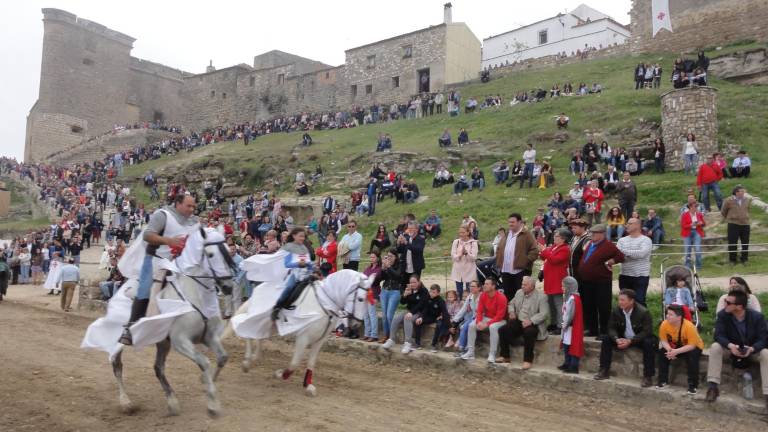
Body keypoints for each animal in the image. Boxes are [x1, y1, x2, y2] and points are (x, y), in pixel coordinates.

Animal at [84, 228, 237, 416]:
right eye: (210, 254)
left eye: (228, 252)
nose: (228, 287)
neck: (195, 295)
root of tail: (119, 291)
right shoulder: (181, 341)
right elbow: (205, 362)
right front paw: (212, 403)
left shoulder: (209, 337)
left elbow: (222, 357)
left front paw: (206, 384)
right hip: (119, 341)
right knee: (117, 364)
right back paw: (126, 403)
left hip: (163, 343)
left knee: (158, 368)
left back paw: (172, 402)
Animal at [228, 268, 372, 396]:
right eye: (360, 299)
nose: (357, 324)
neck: (324, 303)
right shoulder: (303, 338)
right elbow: (294, 363)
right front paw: (280, 374)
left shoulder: (319, 340)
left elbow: (311, 363)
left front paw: (308, 386)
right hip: (259, 318)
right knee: (245, 329)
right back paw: (246, 362)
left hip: (269, 324)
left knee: (258, 338)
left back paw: (253, 358)